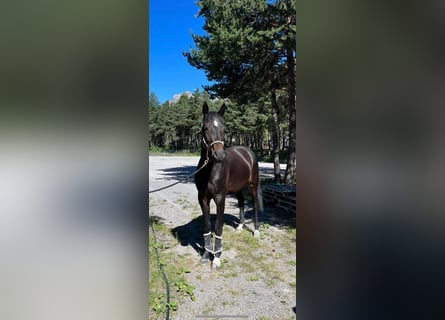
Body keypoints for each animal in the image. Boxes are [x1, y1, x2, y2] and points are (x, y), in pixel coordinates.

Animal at [195, 102, 264, 268]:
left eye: (224, 129)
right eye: (205, 128)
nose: (219, 155)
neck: (210, 170)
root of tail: (248, 151)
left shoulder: (220, 198)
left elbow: (218, 227)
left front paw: (216, 258)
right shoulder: (203, 199)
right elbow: (207, 226)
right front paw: (206, 254)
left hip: (253, 185)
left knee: (254, 204)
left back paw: (256, 231)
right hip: (238, 187)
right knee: (241, 201)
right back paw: (239, 226)